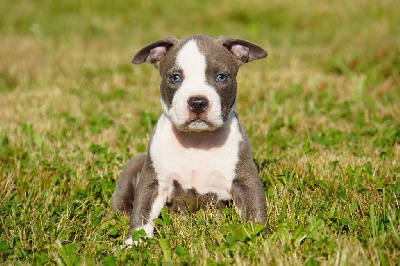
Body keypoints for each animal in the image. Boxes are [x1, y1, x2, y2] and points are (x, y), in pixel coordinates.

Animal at [111, 34, 268, 246]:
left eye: (221, 77)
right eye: (175, 77)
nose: (198, 102)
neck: (197, 140)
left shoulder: (245, 180)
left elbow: (255, 212)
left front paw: (260, 240)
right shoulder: (153, 183)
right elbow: (141, 212)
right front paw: (133, 244)